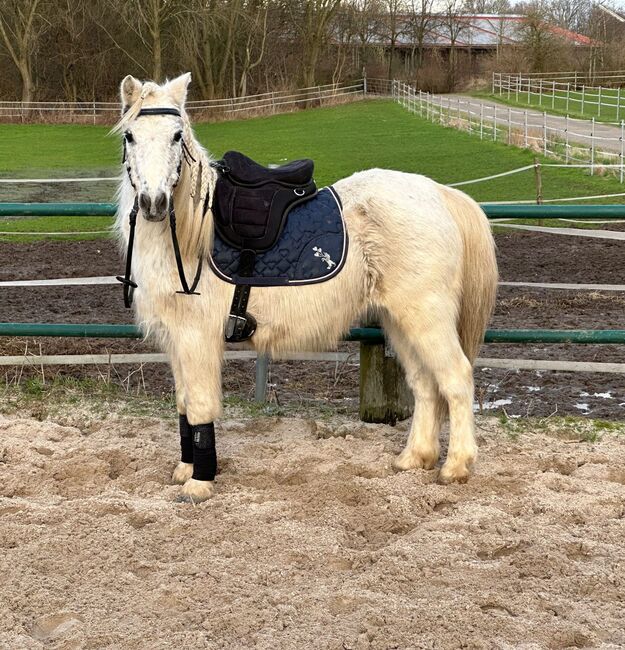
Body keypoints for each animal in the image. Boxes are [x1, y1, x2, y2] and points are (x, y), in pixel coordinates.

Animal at [114, 74, 498, 502]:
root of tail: (441, 195)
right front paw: (184, 470)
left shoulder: (196, 337)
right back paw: (415, 458)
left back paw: (456, 466)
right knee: (425, 385)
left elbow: (198, 407)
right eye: (130, 136)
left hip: (427, 317)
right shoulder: (176, 340)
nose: (153, 203)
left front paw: (200, 482)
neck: (190, 232)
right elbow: (183, 404)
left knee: (456, 379)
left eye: (177, 135)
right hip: (399, 322)